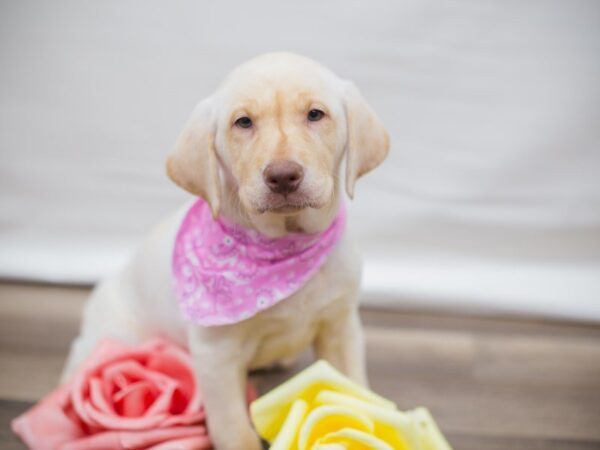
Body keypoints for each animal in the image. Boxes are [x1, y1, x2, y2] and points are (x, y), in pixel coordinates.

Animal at [62, 52, 390, 450]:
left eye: (315, 114)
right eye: (243, 122)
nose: (283, 176)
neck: (286, 244)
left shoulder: (341, 326)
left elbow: (352, 388)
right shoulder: (216, 356)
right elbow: (233, 426)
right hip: (114, 338)